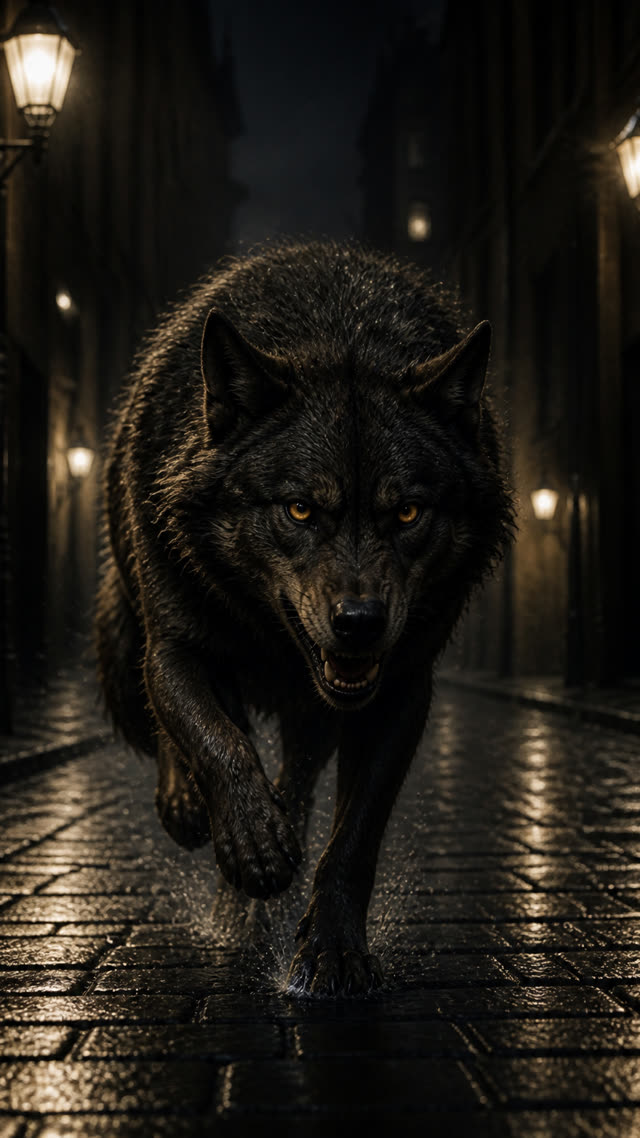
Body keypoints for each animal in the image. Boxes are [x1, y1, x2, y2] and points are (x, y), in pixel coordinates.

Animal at [96, 240, 513, 996]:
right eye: (299, 509)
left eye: (407, 512)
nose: (359, 622)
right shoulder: (179, 646)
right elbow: (217, 743)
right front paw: (250, 843)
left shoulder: (400, 691)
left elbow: (352, 837)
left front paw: (332, 951)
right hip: (140, 624)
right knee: (181, 729)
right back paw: (196, 815)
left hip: (313, 720)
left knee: (298, 783)